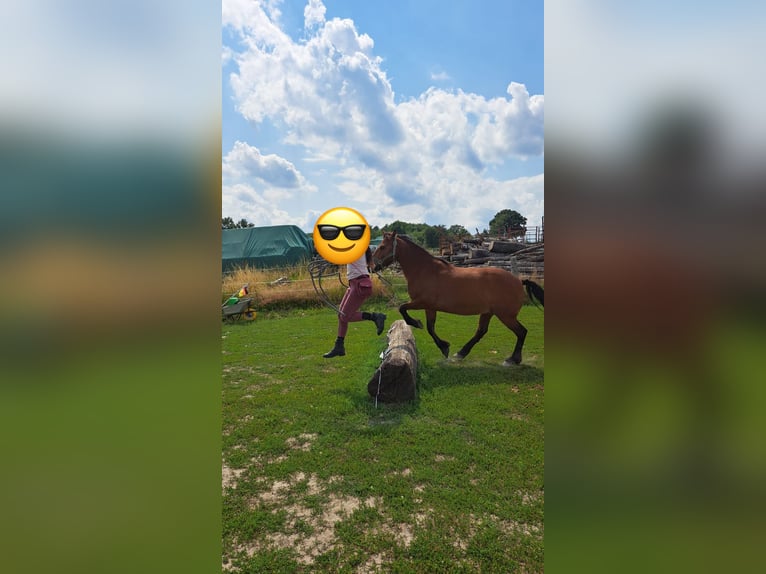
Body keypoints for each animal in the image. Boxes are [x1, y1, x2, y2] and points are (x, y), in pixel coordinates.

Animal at [371, 231, 544, 366]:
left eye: (382, 247)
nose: (373, 267)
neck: (424, 270)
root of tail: (519, 280)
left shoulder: (422, 302)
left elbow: (403, 309)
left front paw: (419, 326)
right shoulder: (430, 307)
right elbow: (430, 327)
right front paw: (444, 347)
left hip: (506, 315)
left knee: (521, 332)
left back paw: (513, 359)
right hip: (488, 312)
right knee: (481, 332)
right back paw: (461, 353)